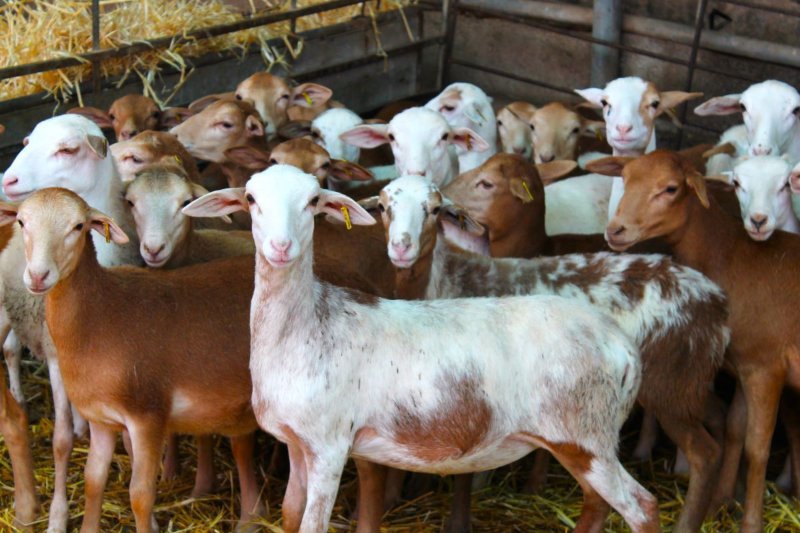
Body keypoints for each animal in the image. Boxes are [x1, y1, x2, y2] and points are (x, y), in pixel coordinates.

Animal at [0, 113, 142, 532]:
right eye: (26, 140)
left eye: (67, 149)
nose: (8, 180)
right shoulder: (54, 355)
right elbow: (60, 440)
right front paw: (58, 516)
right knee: (10, 350)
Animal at [184, 164, 660, 532]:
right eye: (250, 199)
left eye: (314, 200)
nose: (281, 248)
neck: (307, 327)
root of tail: (623, 347)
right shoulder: (297, 443)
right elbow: (289, 515)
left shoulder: (330, 445)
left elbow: (312, 524)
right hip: (586, 439)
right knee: (598, 506)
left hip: (586, 432)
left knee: (643, 507)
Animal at [368, 176, 732, 532]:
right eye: (384, 207)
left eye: (434, 209)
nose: (401, 248)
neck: (443, 279)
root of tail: (716, 299)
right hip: (693, 376)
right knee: (720, 418)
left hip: (669, 384)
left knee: (705, 453)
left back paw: (688, 520)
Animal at [592, 149, 800, 532]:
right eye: (625, 178)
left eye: (671, 188)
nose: (616, 230)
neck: (731, 257)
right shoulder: (743, 365)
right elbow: (735, 431)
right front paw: (719, 504)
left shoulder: (766, 366)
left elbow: (758, 448)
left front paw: (750, 522)